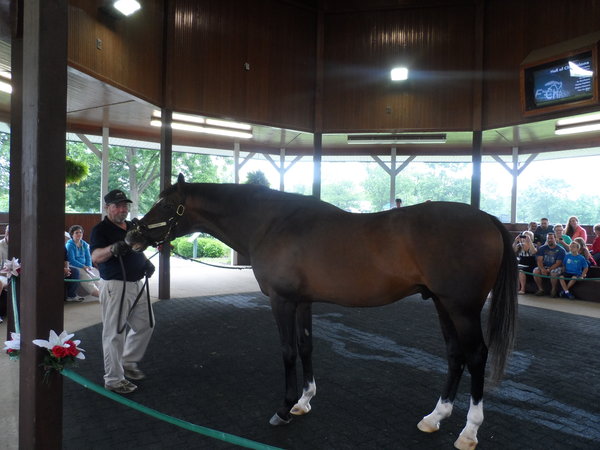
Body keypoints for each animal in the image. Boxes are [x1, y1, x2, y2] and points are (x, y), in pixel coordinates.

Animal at [125, 173, 516, 450]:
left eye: (166, 206)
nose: (132, 237)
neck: (272, 222)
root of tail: (486, 218)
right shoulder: (303, 302)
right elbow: (305, 346)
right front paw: (304, 401)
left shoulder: (281, 301)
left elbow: (286, 351)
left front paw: (283, 409)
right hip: (440, 303)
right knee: (455, 355)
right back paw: (435, 417)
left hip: (462, 308)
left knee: (476, 356)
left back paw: (469, 431)